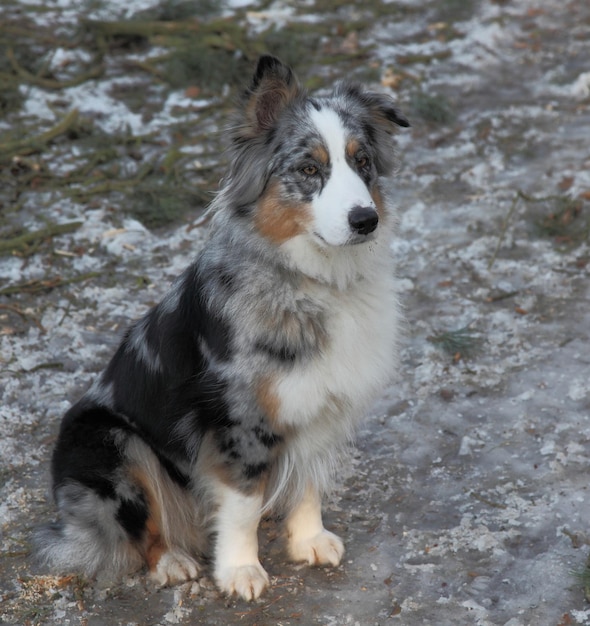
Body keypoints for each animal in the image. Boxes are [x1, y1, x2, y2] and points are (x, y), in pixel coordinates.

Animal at [34, 56, 410, 596]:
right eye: (309, 169)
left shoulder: (317, 403)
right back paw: (171, 560)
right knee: (137, 528)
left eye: (363, 163)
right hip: (110, 446)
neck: (311, 280)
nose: (366, 220)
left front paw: (307, 540)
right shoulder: (240, 419)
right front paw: (239, 570)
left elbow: (308, 481)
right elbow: (243, 505)